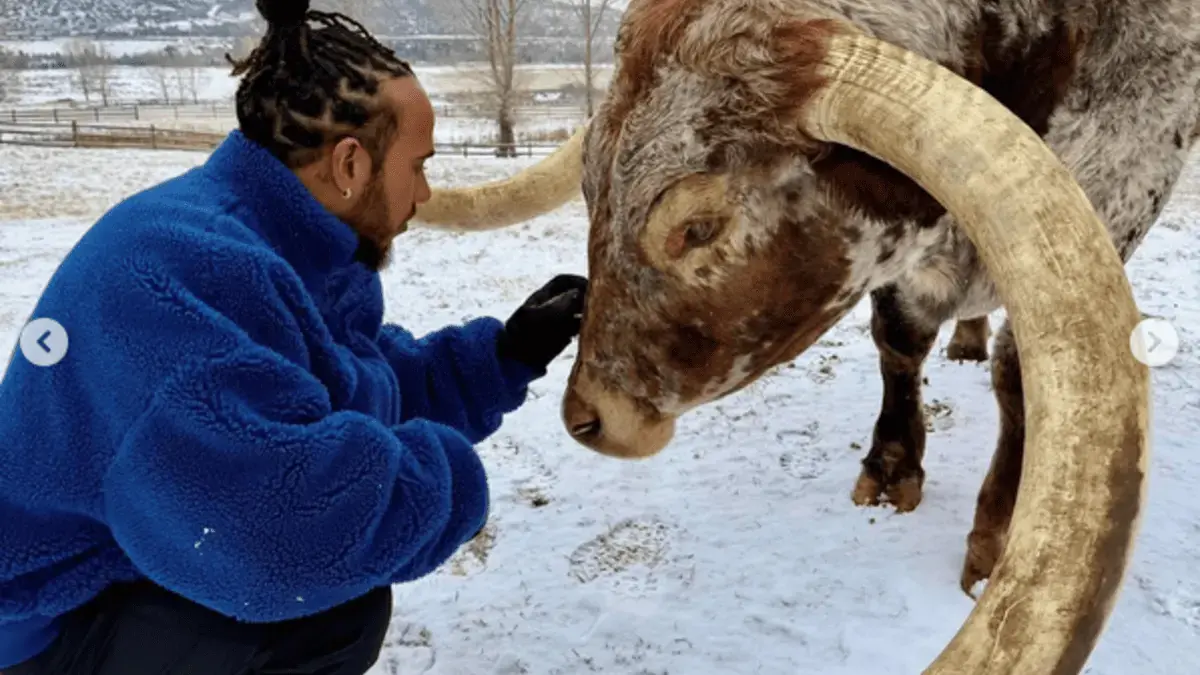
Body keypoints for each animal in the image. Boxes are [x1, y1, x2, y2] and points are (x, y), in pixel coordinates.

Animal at [413, 0, 1198, 671]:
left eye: (699, 227)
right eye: (589, 188)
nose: (588, 417)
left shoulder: (1121, 183)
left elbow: (1021, 376)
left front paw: (993, 540)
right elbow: (898, 339)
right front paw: (890, 468)